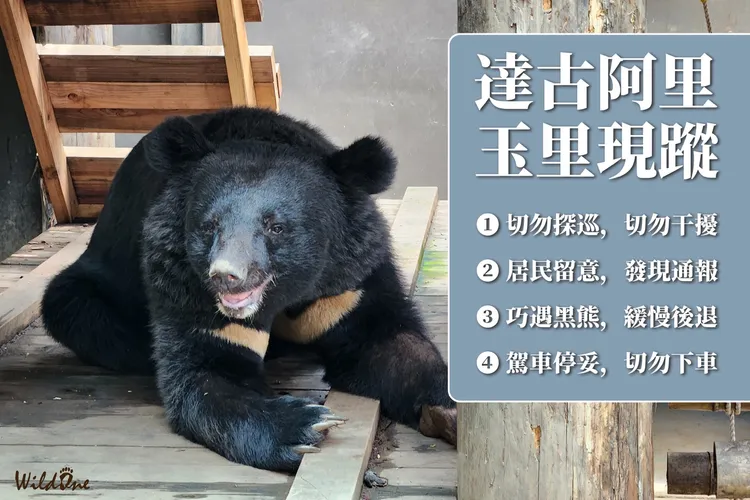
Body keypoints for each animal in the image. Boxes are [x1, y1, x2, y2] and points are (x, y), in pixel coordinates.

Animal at [40, 106, 456, 472]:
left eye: (276, 227)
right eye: (209, 225)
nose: (227, 275)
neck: (285, 294)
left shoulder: (348, 282)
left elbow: (387, 338)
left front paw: (450, 409)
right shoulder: (182, 285)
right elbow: (209, 368)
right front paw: (301, 425)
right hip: (92, 289)